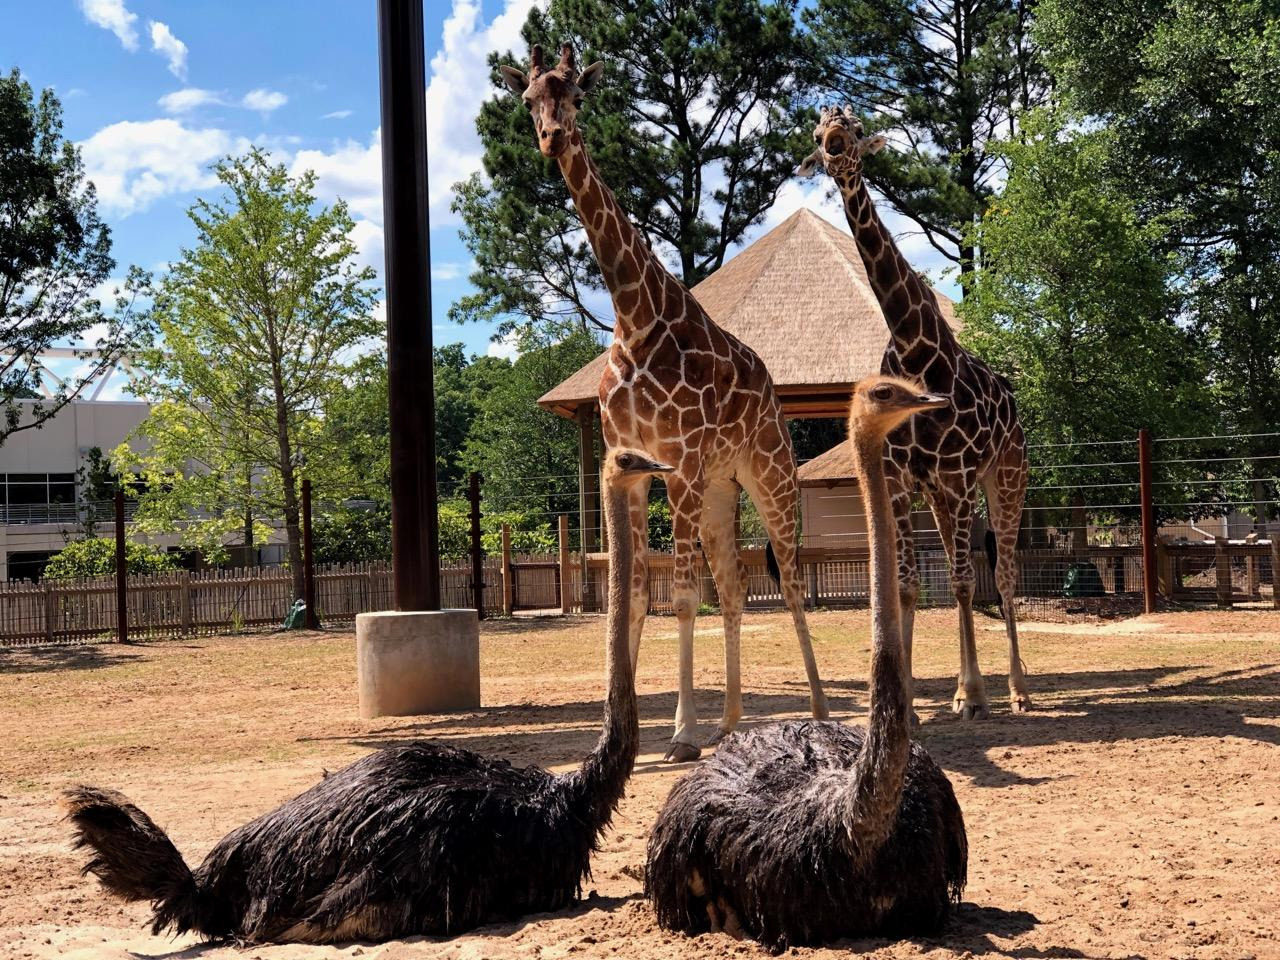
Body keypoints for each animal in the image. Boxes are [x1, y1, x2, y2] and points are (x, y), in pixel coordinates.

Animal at [499, 45, 829, 762]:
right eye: (529, 98)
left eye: (576, 95)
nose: (551, 137)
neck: (634, 317)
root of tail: (772, 394)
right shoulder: (631, 463)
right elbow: (633, 600)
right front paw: (627, 729)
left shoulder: (677, 462)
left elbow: (679, 596)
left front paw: (680, 733)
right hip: (721, 488)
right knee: (734, 588)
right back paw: (730, 723)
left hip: (768, 476)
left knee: (789, 582)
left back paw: (817, 712)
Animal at [803, 106, 1034, 721]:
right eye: (817, 133)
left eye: (856, 129)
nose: (835, 146)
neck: (915, 348)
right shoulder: (904, 477)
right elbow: (907, 583)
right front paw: (906, 698)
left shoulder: (956, 476)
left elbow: (962, 582)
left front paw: (973, 694)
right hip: (941, 493)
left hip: (1005, 476)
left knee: (1003, 575)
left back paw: (1016, 689)